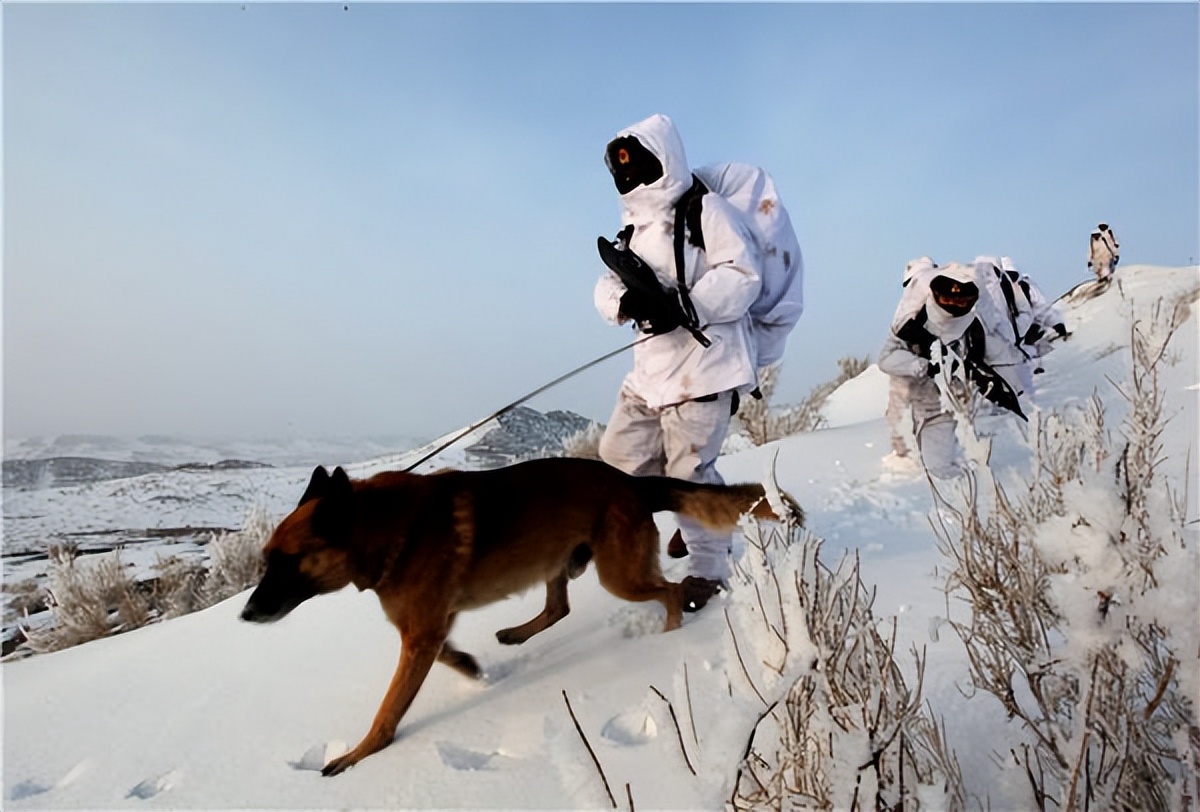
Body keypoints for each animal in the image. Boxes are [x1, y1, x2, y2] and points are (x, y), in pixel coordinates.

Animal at [238, 455, 801, 772]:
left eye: (287, 562)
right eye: (266, 560)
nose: (245, 614)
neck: (382, 529)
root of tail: (629, 481)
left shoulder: (418, 634)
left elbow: (388, 709)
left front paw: (360, 754)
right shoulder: (424, 630)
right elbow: (447, 656)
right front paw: (470, 667)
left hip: (618, 576)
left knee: (670, 592)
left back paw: (668, 633)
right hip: (560, 562)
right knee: (559, 606)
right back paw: (514, 634)